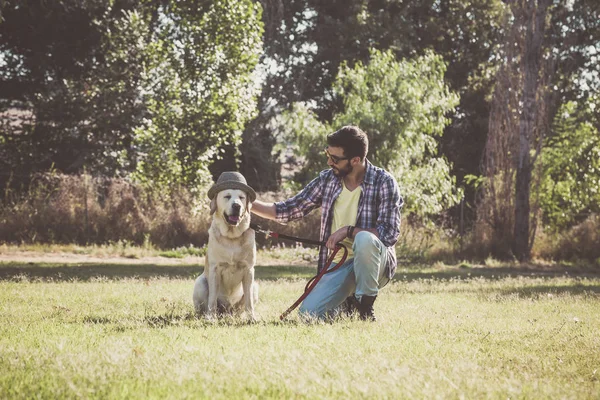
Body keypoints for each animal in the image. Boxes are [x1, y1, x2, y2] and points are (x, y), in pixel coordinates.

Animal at [193, 171, 256, 318]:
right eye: (227, 196)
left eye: (241, 197)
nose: (237, 206)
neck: (232, 237)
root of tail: (228, 311)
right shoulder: (215, 269)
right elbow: (212, 299)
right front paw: (210, 318)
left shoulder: (249, 270)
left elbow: (249, 300)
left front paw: (252, 318)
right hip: (200, 283)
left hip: (256, 285)